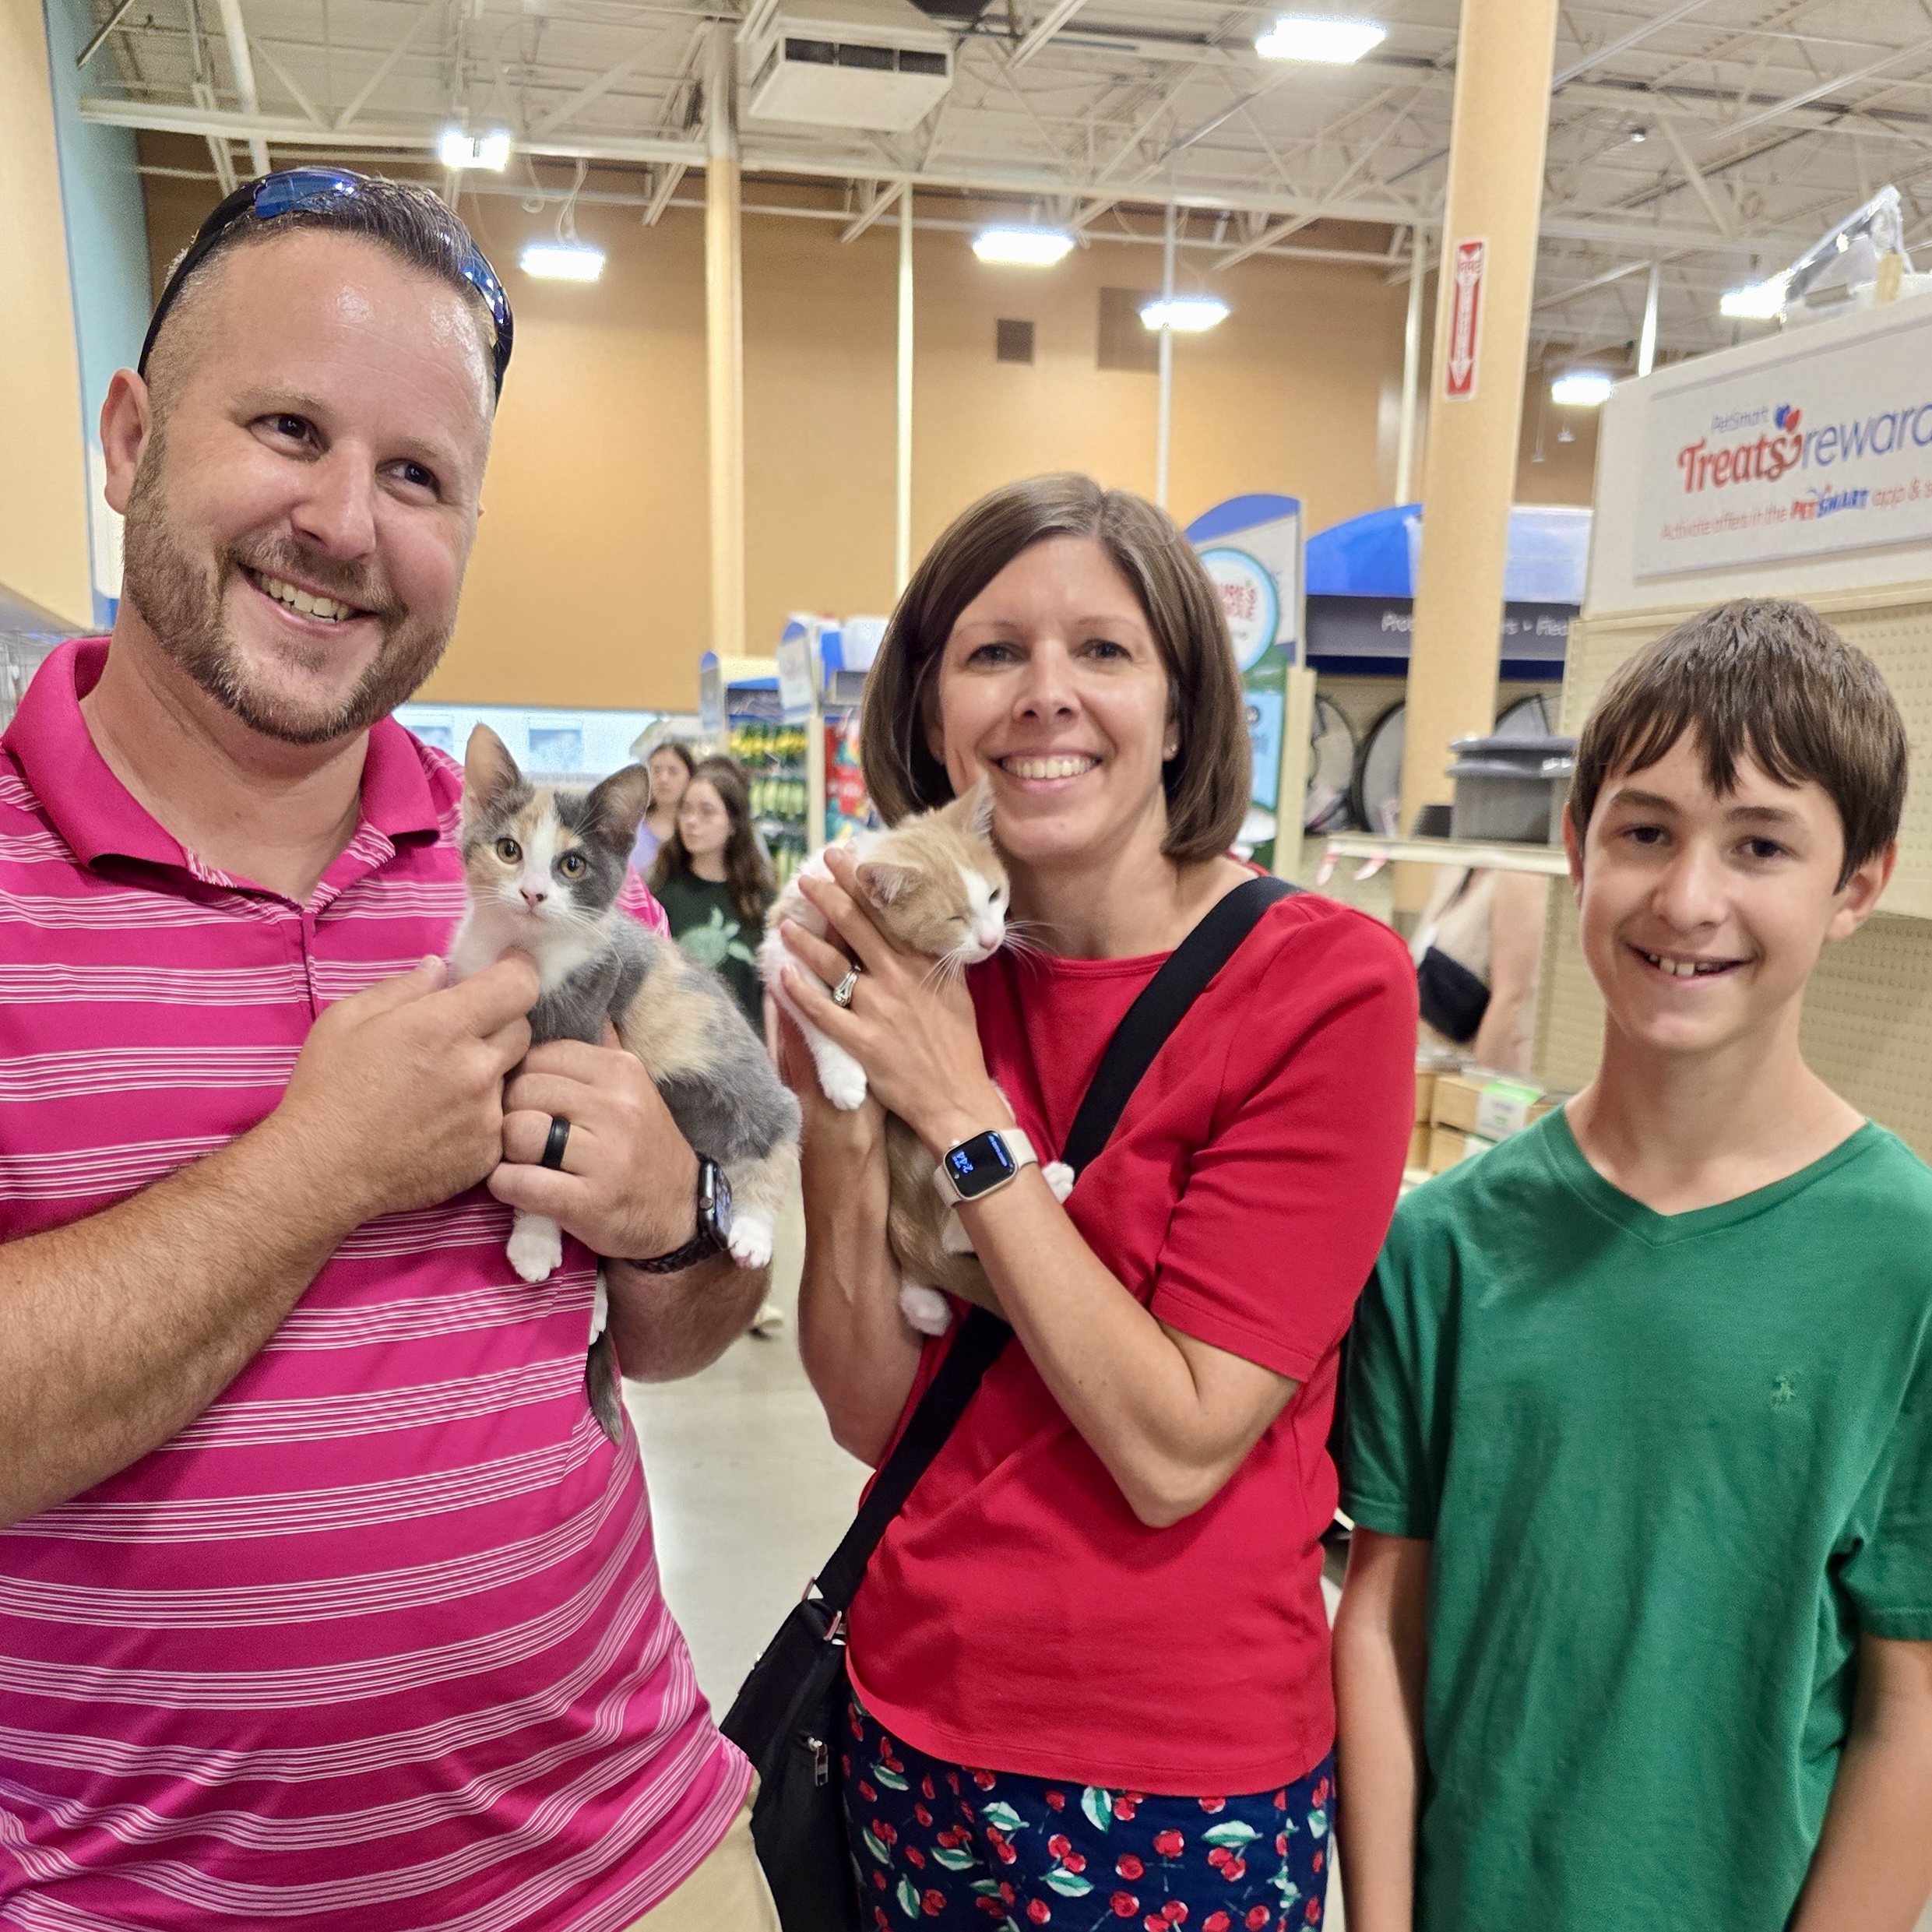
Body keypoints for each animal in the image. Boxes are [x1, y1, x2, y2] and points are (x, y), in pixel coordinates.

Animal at [449, 725, 802, 1306]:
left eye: (572, 864)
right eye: (508, 850)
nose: (532, 893)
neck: (523, 946)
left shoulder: (585, 1011)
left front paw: (535, 1239)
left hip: (733, 1071)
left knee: (782, 1118)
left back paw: (752, 1226)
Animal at [758, 780, 1071, 1337]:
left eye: (995, 897)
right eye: (954, 918)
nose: (993, 940)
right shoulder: (782, 946)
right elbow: (813, 1001)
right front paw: (843, 1077)